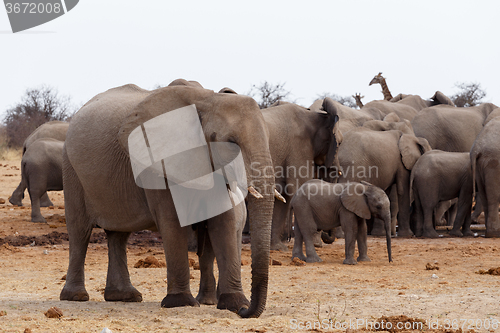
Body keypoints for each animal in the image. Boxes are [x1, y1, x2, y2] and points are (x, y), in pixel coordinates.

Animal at [60, 81, 278, 318]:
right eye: (230, 143)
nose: (245, 311)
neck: (206, 99)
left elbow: (224, 222)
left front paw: (234, 303)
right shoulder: (157, 162)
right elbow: (172, 221)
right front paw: (181, 302)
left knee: (119, 235)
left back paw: (125, 297)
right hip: (71, 169)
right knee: (80, 231)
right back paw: (76, 297)